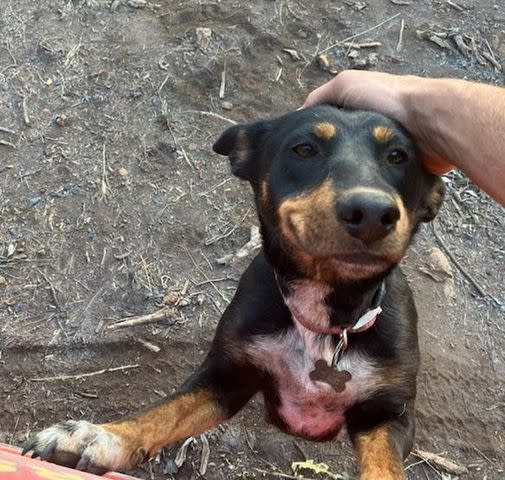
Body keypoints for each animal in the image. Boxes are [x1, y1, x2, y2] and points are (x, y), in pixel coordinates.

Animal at [23, 108, 442, 480]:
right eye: (304, 149)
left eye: (398, 156)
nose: (371, 212)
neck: (326, 317)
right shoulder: (227, 377)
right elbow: (166, 412)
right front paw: (100, 436)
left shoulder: (387, 414)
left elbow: (385, 464)